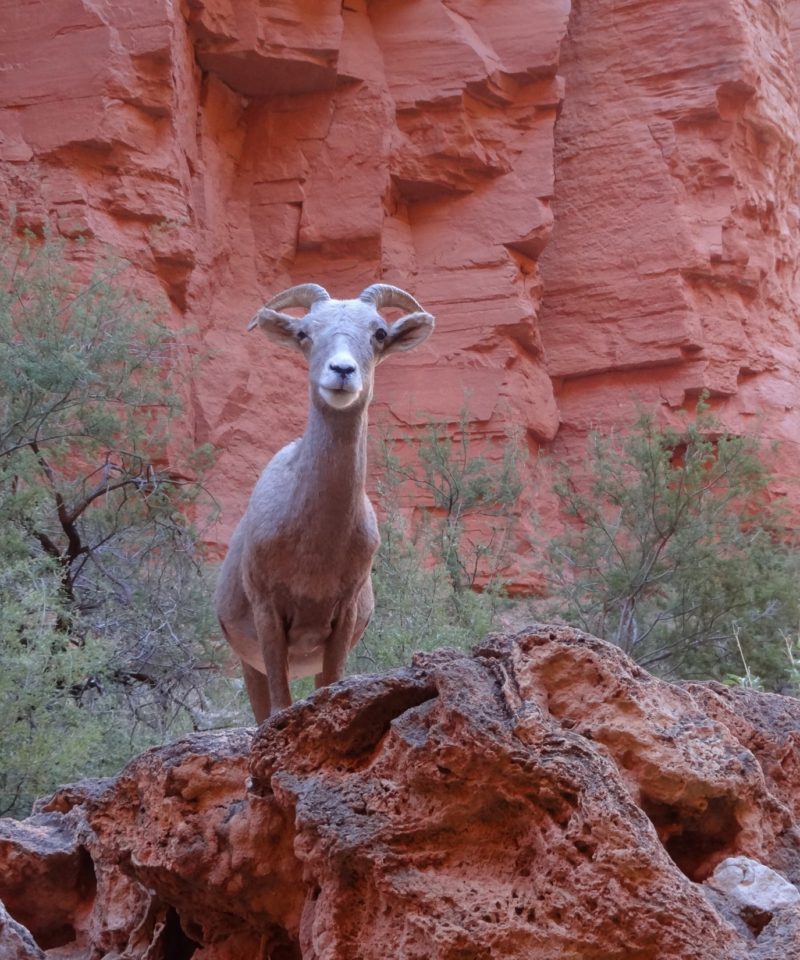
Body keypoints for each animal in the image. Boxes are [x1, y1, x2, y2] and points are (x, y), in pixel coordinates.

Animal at [216, 284, 434, 720]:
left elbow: (332, 685)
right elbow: (280, 706)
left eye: (379, 333)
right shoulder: (268, 615)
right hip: (250, 666)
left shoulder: (341, 618)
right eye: (304, 333)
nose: (342, 371)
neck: (315, 549)